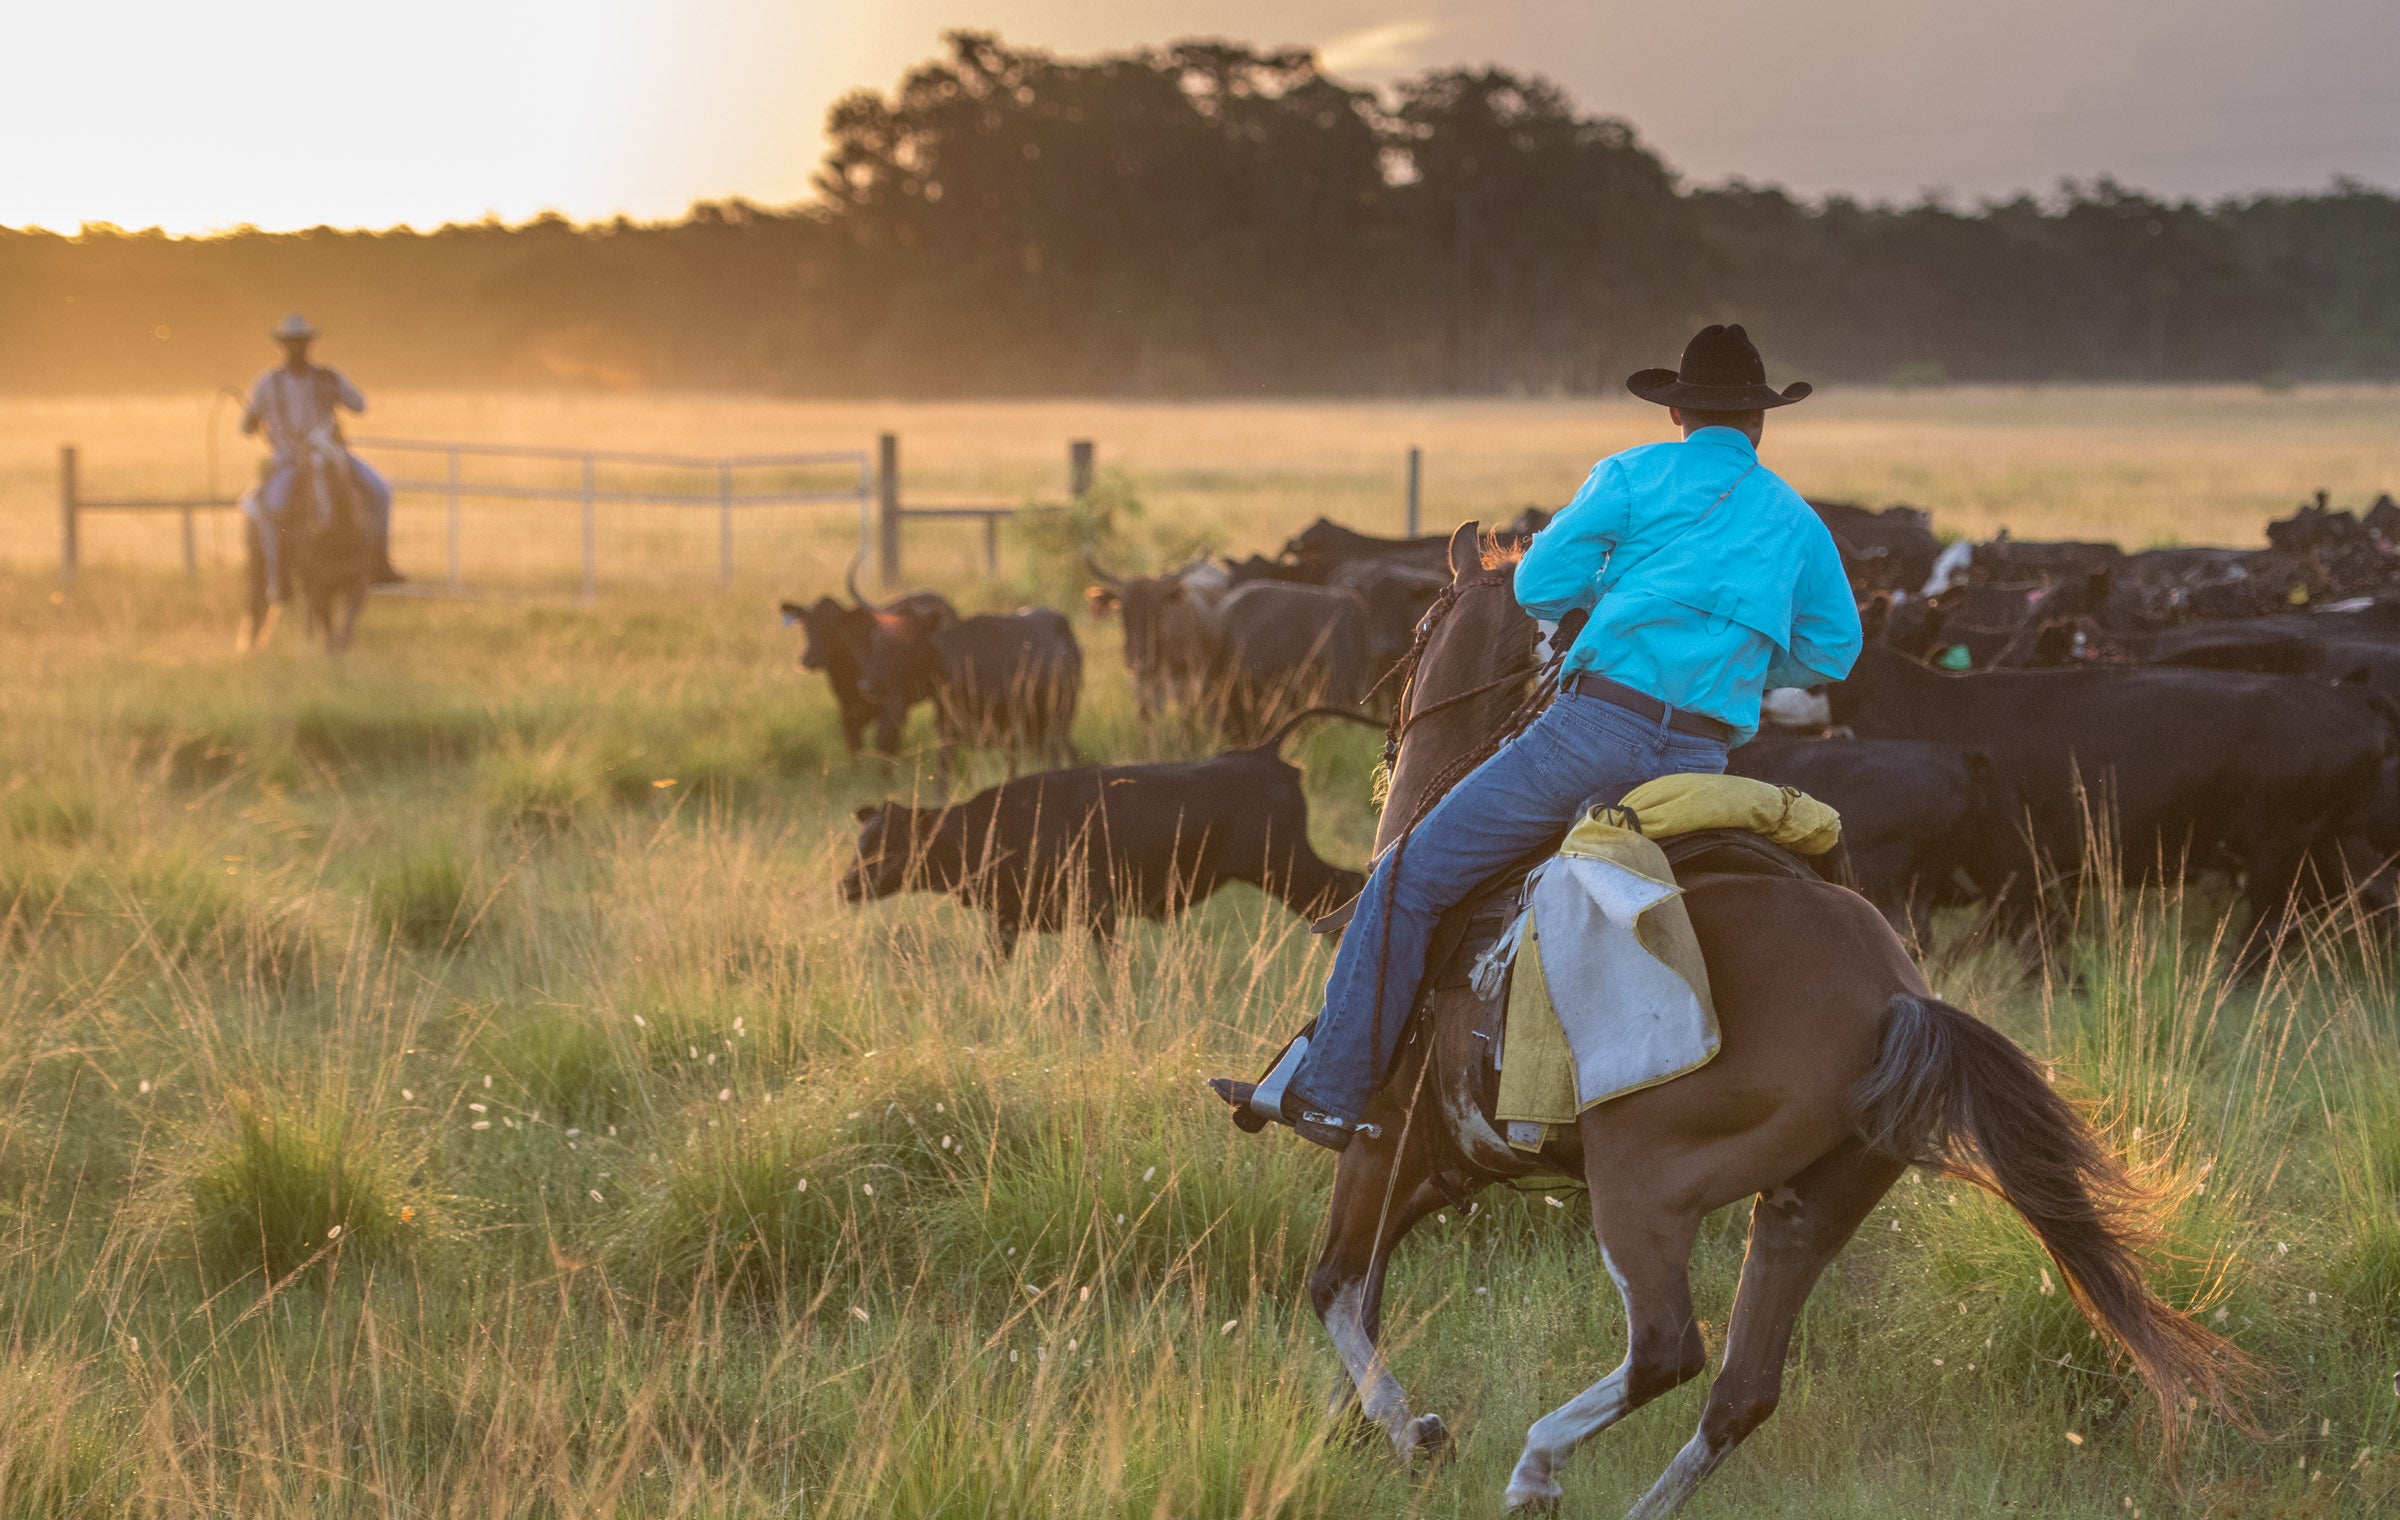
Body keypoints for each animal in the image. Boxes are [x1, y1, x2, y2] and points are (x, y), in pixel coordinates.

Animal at [841, 709, 1376, 955]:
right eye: (861, 840)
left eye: (885, 844)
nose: (845, 885)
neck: (992, 827)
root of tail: (1264, 753)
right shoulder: (1007, 921)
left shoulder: (1101, 910)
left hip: (1284, 866)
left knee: (1344, 888)